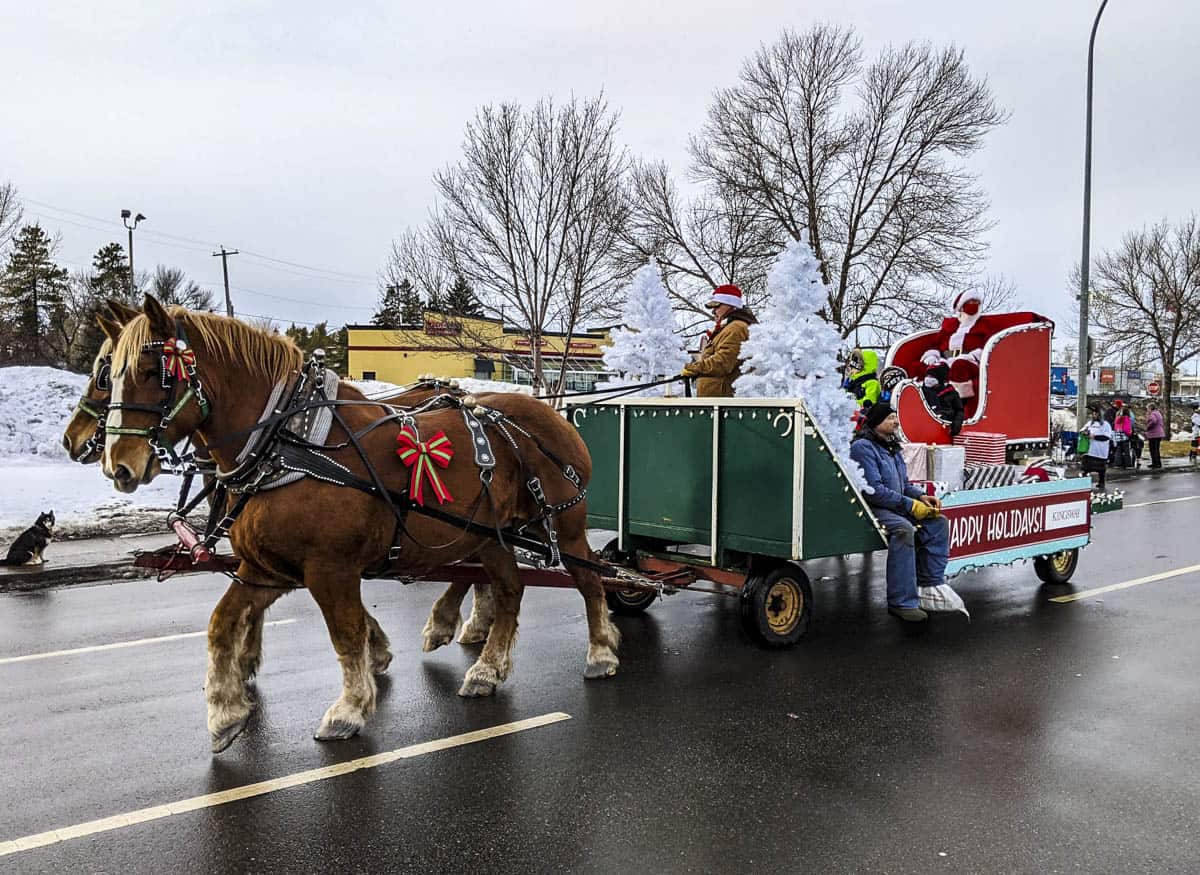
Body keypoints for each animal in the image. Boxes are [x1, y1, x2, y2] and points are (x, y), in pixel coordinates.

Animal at [103, 296, 619, 748]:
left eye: (151, 372)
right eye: (108, 374)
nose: (118, 465)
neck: (287, 445)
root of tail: (551, 411)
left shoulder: (330, 569)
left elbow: (346, 635)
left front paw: (348, 709)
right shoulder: (267, 569)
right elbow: (222, 624)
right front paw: (226, 713)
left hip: (565, 525)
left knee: (590, 580)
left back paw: (600, 651)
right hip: (489, 535)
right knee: (509, 587)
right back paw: (485, 666)